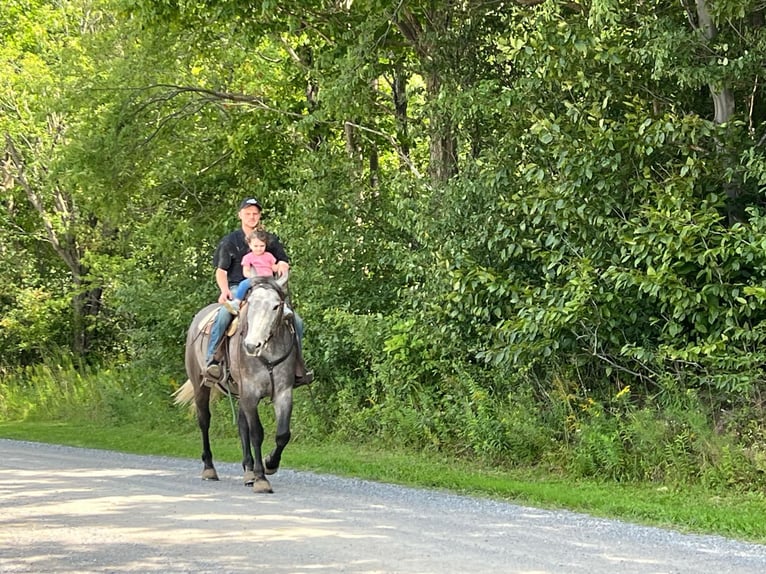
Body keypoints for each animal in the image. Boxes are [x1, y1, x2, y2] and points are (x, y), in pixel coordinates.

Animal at [173, 273, 297, 493]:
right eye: (250, 304)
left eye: (276, 306)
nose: (251, 345)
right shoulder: (250, 393)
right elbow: (257, 433)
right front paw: (261, 479)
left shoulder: (283, 392)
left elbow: (282, 434)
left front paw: (270, 464)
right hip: (200, 386)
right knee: (204, 421)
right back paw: (209, 469)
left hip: (238, 392)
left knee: (241, 425)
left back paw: (248, 471)